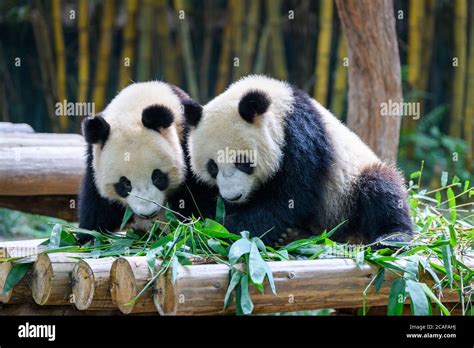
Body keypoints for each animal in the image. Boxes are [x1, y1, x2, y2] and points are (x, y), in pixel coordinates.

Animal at [79, 81, 217, 239]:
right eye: (125, 184)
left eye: (157, 177)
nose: (148, 213)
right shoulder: (94, 158)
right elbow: (97, 205)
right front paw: (89, 236)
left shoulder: (187, 140)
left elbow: (196, 197)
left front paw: (192, 230)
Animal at [183, 75, 412, 246]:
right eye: (212, 167)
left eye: (242, 162)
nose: (233, 196)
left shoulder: (301, 138)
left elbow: (291, 197)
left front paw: (229, 226)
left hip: (349, 188)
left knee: (381, 189)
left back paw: (393, 237)